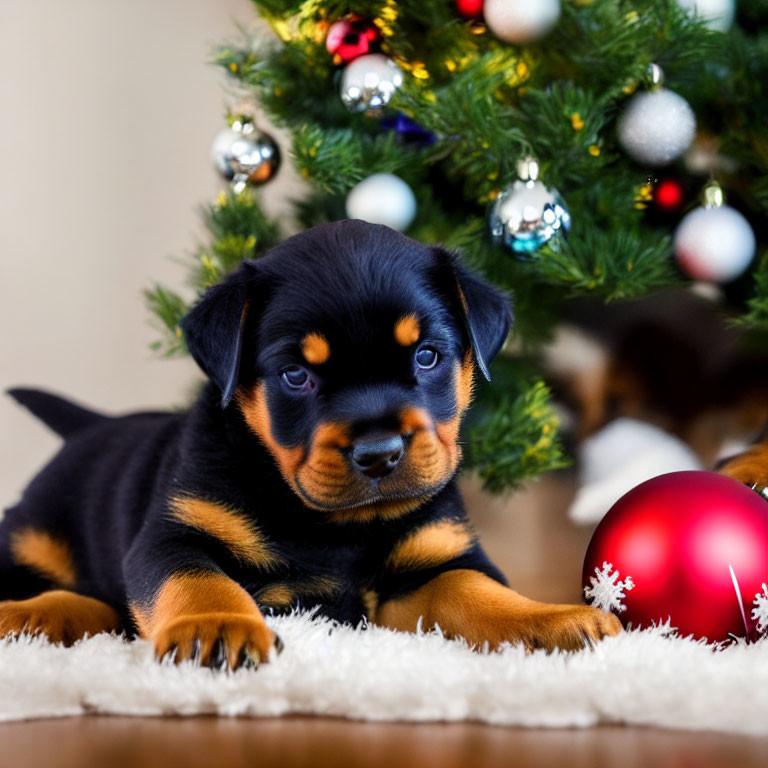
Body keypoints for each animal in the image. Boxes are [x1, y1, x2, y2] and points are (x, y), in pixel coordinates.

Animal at [0, 220, 620, 664]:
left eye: (427, 356)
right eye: (296, 375)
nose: (380, 453)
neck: (334, 527)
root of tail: (91, 425)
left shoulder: (431, 562)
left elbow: (476, 590)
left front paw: (553, 620)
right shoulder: (174, 535)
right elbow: (197, 580)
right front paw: (217, 627)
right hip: (29, 536)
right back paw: (24, 613)